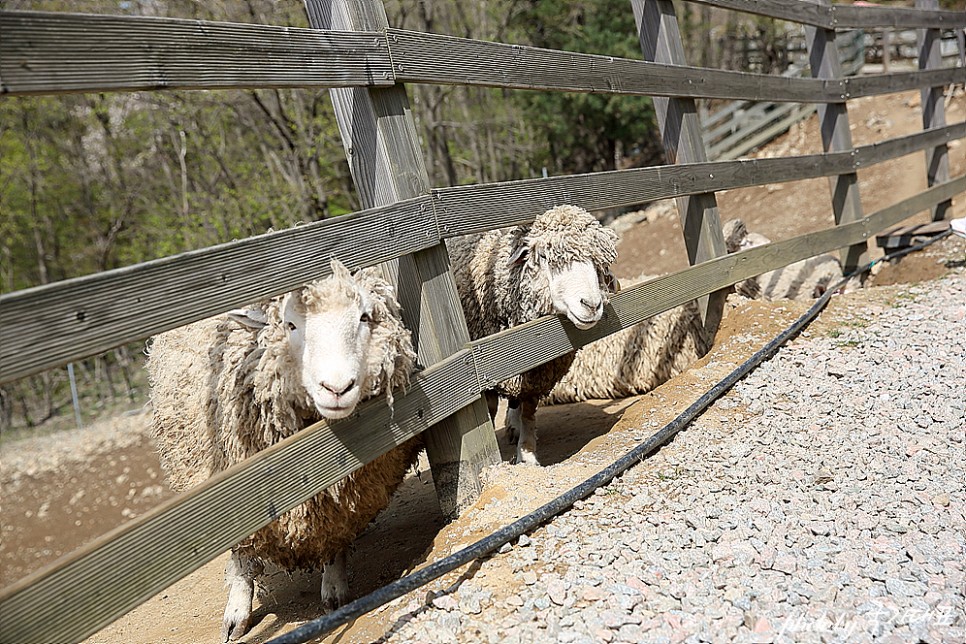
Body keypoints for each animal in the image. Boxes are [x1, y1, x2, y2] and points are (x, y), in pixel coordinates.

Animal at [146, 260, 418, 640]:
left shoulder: (338, 502)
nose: (337, 388)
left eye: (365, 317)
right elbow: (241, 555)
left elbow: (335, 536)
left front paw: (335, 589)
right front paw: (237, 613)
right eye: (290, 324)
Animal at [448, 205, 620, 462]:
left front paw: (527, 453)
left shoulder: (537, 372)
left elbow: (528, 411)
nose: (591, 305)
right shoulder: (485, 373)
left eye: (596, 262)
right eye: (545, 257)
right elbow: (490, 409)